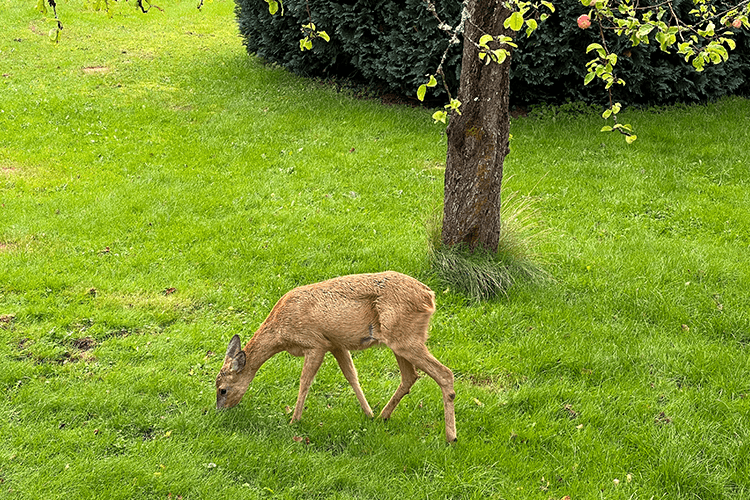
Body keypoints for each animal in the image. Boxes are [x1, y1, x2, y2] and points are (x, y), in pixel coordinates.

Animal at [214, 272, 456, 440]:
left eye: (223, 389)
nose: (219, 411)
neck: (280, 332)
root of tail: (429, 296)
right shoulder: (336, 343)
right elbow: (351, 376)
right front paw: (368, 413)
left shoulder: (315, 343)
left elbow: (305, 382)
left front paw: (294, 420)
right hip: (400, 340)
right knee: (410, 377)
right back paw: (382, 416)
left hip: (405, 338)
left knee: (444, 373)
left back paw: (450, 437)